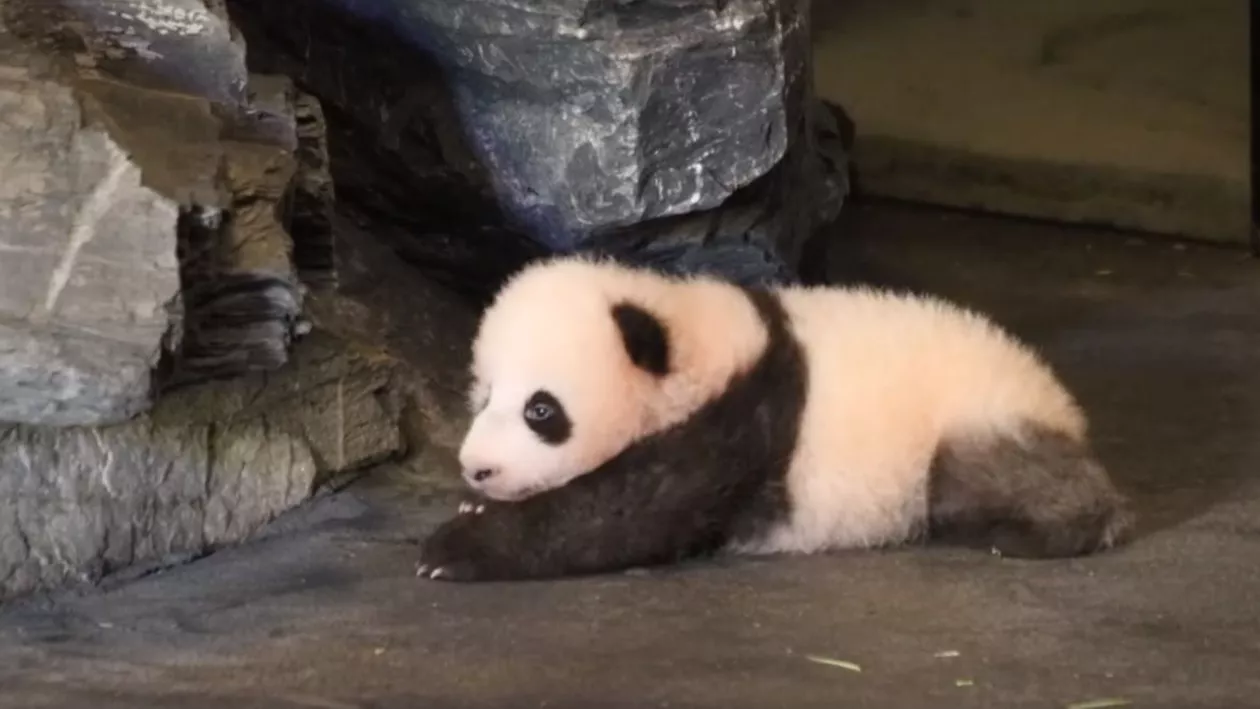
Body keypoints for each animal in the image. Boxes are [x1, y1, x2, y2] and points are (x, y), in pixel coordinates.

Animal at [415, 256, 1135, 582]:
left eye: (542, 410)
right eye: (484, 397)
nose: (477, 469)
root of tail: (1062, 402)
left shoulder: (735, 423)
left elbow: (616, 518)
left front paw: (455, 547)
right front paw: (473, 512)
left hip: (980, 417)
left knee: (995, 474)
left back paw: (1030, 533)